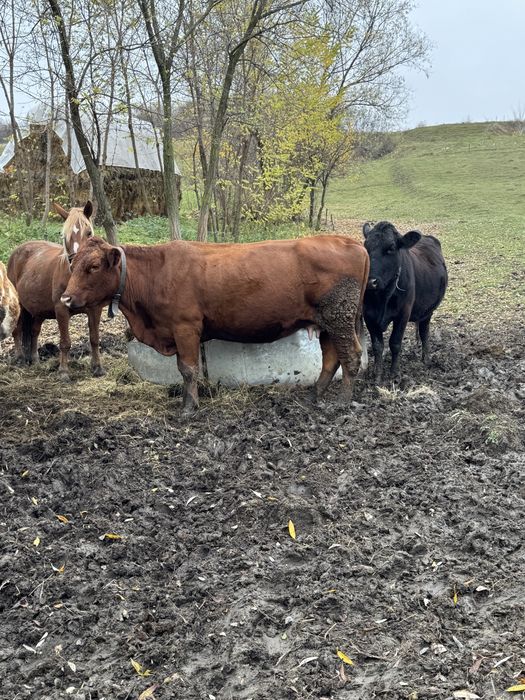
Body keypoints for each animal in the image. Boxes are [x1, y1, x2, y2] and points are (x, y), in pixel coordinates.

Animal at [7, 201, 105, 380]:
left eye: (89, 233)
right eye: (64, 235)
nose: (76, 263)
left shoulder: (95, 309)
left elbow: (94, 339)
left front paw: (97, 367)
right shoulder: (61, 310)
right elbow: (65, 342)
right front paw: (64, 372)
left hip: (38, 310)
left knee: (34, 331)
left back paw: (34, 359)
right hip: (18, 305)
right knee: (17, 329)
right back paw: (19, 357)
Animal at [61, 235, 370, 414]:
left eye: (94, 266)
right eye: (72, 265)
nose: (65, 298)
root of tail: (349, 241)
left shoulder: (185, 327)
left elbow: (187, 369)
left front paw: (189, 407)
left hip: (339, 318)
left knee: (351, 356)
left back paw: (341, 402)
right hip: (328, 322)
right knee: (331, 358)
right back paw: (315, 395)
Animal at [362, 220, 448, 382]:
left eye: (391, 248)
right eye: (366, 247)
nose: (370, 282)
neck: (382, 297)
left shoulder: (403, 314)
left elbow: (395, 343)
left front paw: (395, 374)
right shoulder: (368, 316)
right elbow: (377, 346)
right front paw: (377, 375)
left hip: (428, 312)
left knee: (424, 332)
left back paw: (426, 359)